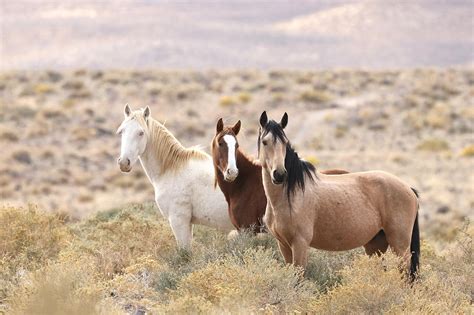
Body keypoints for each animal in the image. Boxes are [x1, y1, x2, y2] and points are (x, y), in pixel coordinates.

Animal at [260, 111, 418, 282]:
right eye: (264, 142)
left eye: (285, 142)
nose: (279, 174)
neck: (289, 196)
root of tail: (409, 189)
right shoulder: (283, 245)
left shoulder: (300, 244)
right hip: (375, 245)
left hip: (400, 245)